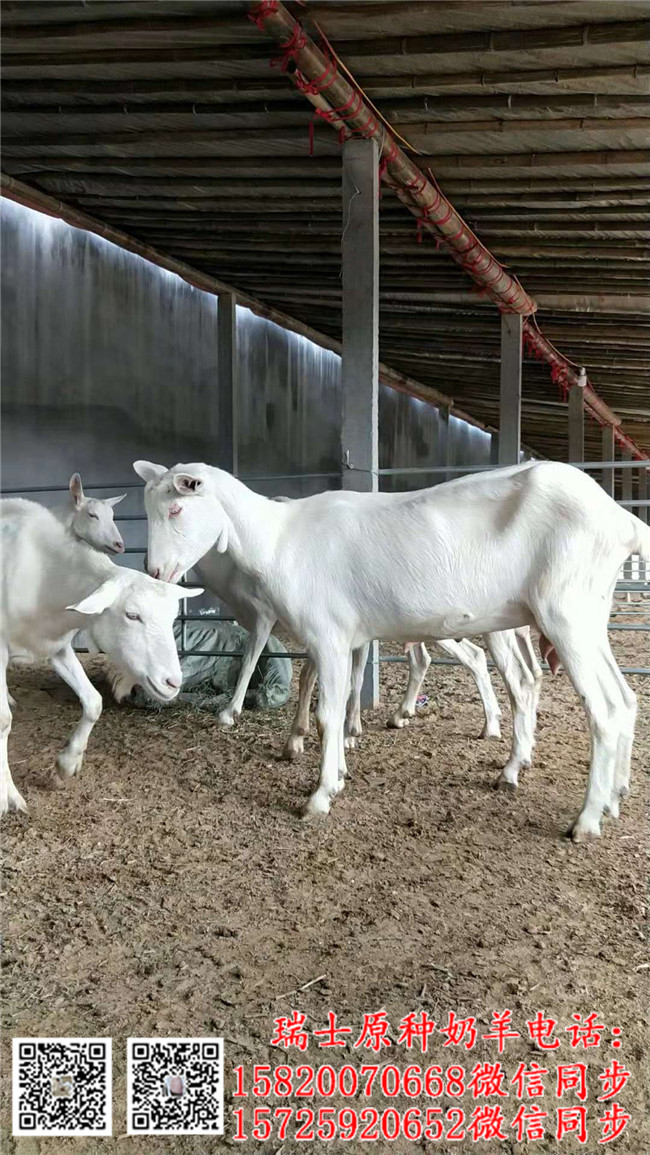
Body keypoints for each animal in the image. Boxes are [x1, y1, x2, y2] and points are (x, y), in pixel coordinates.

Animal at [0, 501, 202, 817]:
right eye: (132, 615)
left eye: (172, 617)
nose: (173, 682)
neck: (45, 578)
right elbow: (3, 722)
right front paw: (7, 796)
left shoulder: (57, 647)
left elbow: (94, 702)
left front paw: (67, 763)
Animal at [136, 457, 646, 840]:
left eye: (176, 509)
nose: (156, 572)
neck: (278, 540)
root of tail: (622, 521)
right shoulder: (345, 637)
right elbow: (336, 704)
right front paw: (339, 771)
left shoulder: (326, 632)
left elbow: (325, 712)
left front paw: (319, 794)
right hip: (587, 615)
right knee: (622, 699)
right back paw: (607, 796)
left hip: (566, 612)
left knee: (602, 708)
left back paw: (586, 820)